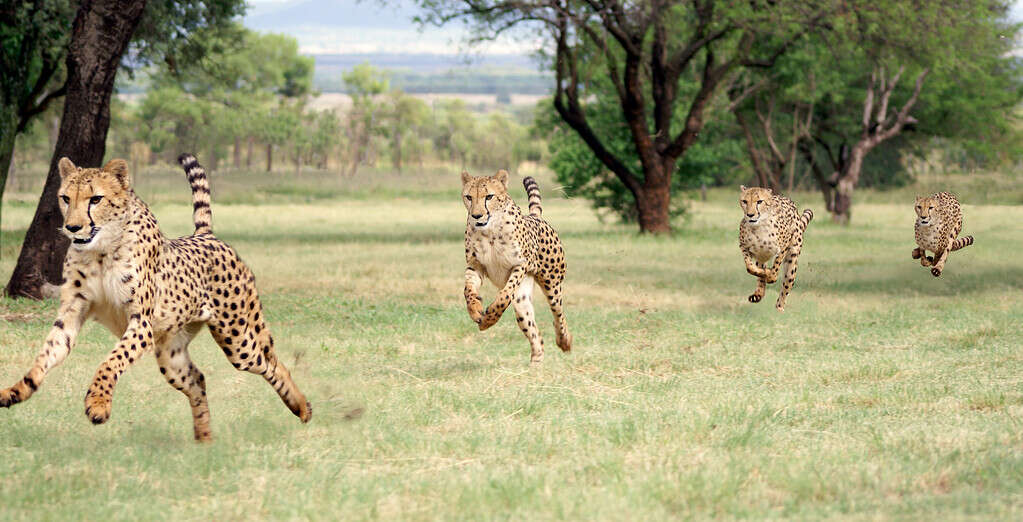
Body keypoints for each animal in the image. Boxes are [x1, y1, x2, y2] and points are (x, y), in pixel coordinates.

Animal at [0, 153, 310, 440]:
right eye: (65, 198)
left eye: (96, 199)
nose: (73, 227)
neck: (101, 249)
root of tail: (206, 236)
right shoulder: (72, 312)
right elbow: (47, 354)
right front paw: (15, 390)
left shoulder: (141, 323)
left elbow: (111, 361)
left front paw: (98, 403)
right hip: (170, 354)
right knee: (198, 379)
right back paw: (204, 440)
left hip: (238, 339)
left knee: (271, 361)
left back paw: (302, 406)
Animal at [462, 170, 572, 362]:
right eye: (469, 197)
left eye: (489, 196)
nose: (476, 216)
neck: (489, 231)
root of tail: (535, 217)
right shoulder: (475, 265)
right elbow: (468, 290)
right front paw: (475, 310)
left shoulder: (519, 265)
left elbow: (504, 295)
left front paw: (489, 318)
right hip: (522, 302)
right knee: (534, 332)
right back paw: (536, 361)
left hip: (552, 284)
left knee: (559, 315)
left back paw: (564, 341)